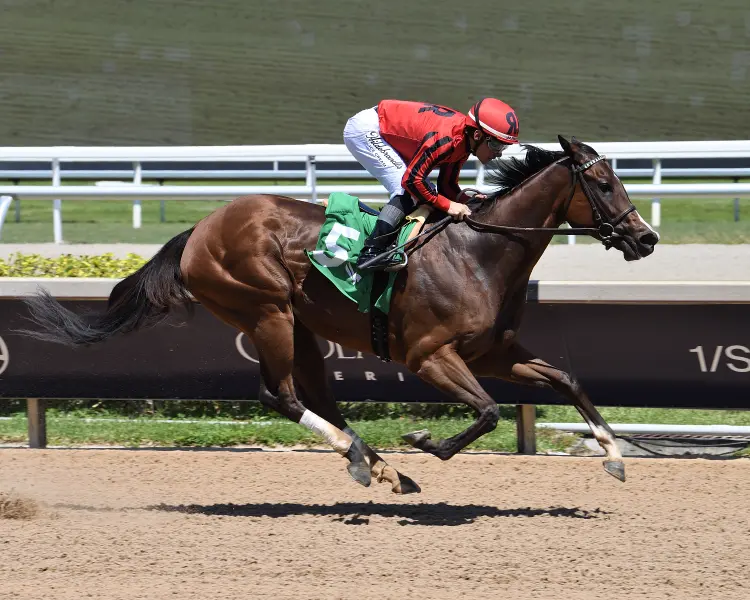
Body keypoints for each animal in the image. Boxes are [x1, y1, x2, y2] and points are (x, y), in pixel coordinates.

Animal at [21, 136, 659, 494]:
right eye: (605, 183)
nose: (646, 237)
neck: (479, 254)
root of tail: (199, 230)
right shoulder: (429, 356)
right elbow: (487, 413)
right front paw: (426, 440)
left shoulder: (494, 353)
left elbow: (565, 379)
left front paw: (613, 454)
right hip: (267, 311)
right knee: (279, 395)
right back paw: (364, 458)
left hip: (300, 328)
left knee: (317, 398)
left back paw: (380, 468)